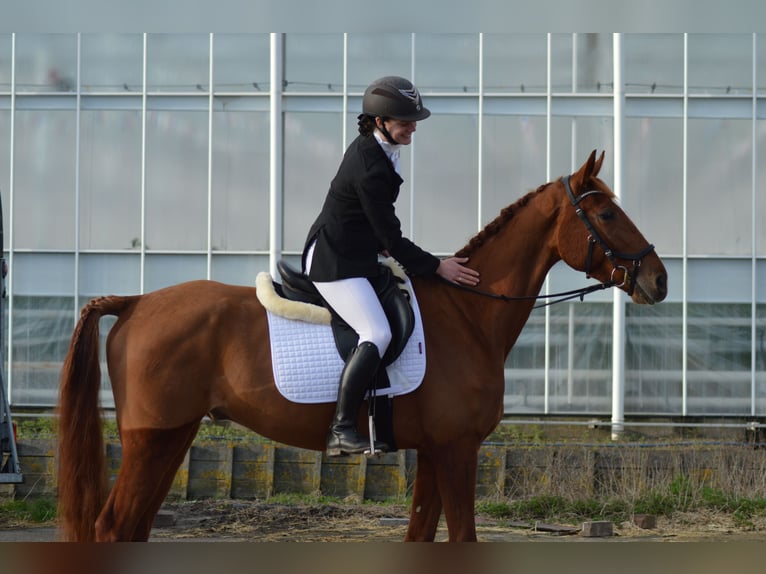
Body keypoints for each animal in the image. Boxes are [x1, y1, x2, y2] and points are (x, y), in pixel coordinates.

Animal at [55, 151, 664, 544]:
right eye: (607, 213)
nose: (658, 280)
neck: (468, 314)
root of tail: (135, 302)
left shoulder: (436, 451)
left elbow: (421, 535)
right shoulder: (458, 449)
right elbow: (463, 537)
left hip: (171, 436)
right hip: (150, 440)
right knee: (112, 528)